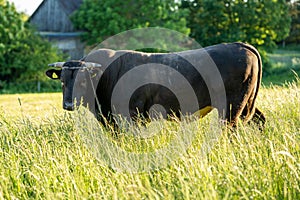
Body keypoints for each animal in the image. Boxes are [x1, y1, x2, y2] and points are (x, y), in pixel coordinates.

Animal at [44, 42, 264, 127]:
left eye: (83, 80)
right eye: (62, 81)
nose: (68, 105)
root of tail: (239, 45)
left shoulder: (132, 115)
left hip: (232, 106)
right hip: (247, 104)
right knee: (259, 119)